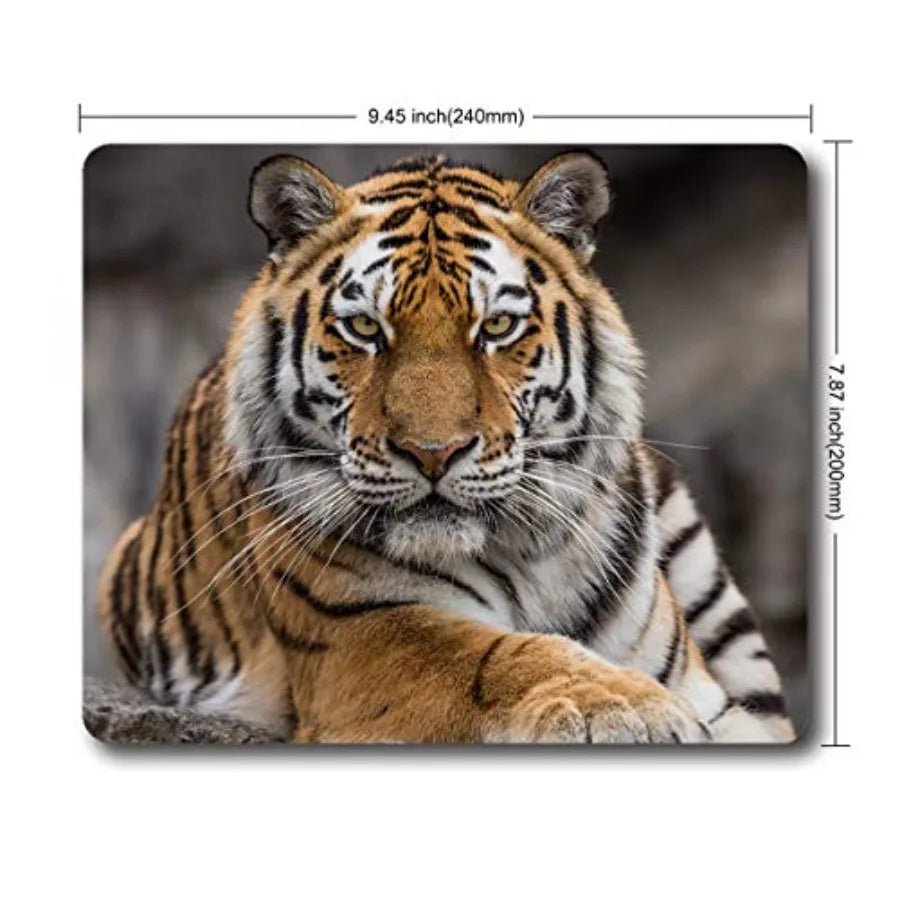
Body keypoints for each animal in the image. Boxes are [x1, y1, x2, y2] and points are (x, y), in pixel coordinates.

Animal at [96, 151, 795, 743]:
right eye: (364, 328)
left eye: (498, 326)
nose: (433, 453)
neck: (528, 556)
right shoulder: (362, 635)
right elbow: (498, 655)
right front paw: (629, 707)